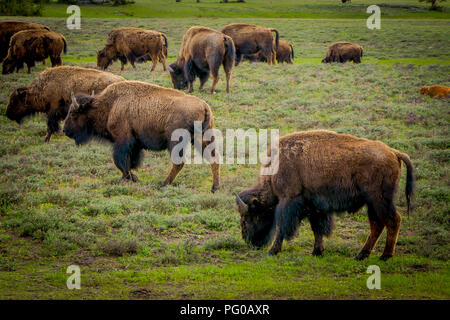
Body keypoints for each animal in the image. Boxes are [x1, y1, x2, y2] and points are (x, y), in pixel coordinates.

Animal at [63, 80, 221, 192]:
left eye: (73, 114)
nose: (65, 131)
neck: (110, 105)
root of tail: (204, 106)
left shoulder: (123, 140)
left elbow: (120, 161)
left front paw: (130, 178)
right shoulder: (135, 144)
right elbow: (130, 161)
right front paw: (131, 177)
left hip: (176, 141)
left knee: (179, 163)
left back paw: (164, 184)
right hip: (202, 138)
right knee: (213, 158)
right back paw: (214, 188)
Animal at [236, 129, 414, 260]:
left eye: (247, 218)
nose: (248, 240)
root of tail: (394, 152)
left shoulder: (288, 201)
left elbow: (282, 227)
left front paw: (272, 251)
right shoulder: (315, 207)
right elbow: (318, 229)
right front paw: (317, 251)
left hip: (379, 200)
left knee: (392, 221)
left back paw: (385, 256)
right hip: (372, 204)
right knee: (377, 225)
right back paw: (361, 255)